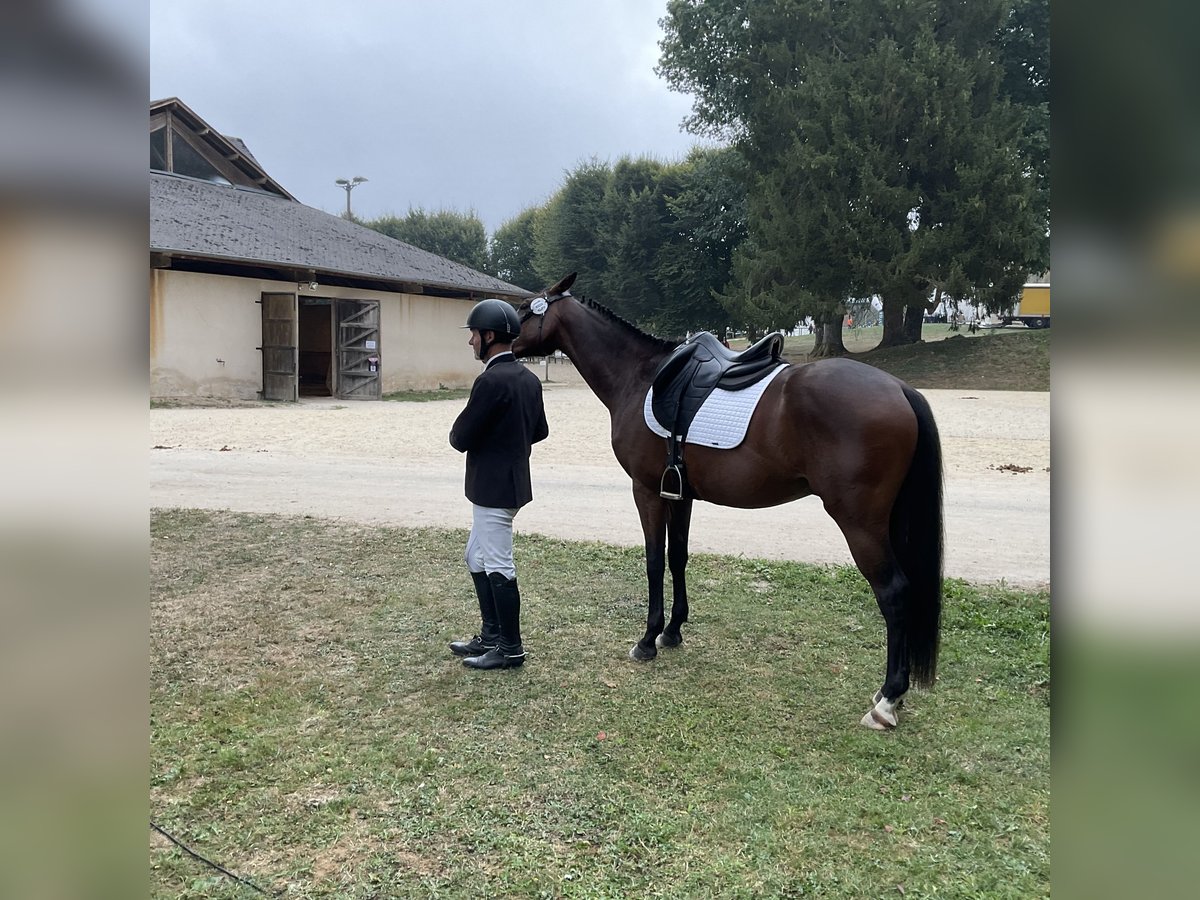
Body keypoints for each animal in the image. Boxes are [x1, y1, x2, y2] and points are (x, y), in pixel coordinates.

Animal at [511, 271, 940, 729]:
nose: (490, 342)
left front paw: (647, 639)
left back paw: (888, 699)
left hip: (860, 524)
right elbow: (677, 557)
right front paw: (672, 632)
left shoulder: (646, 491)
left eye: (524, 310)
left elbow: (653, 560)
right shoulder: (680, 494)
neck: (639, 377)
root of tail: (900, 389)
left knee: (894, 593)